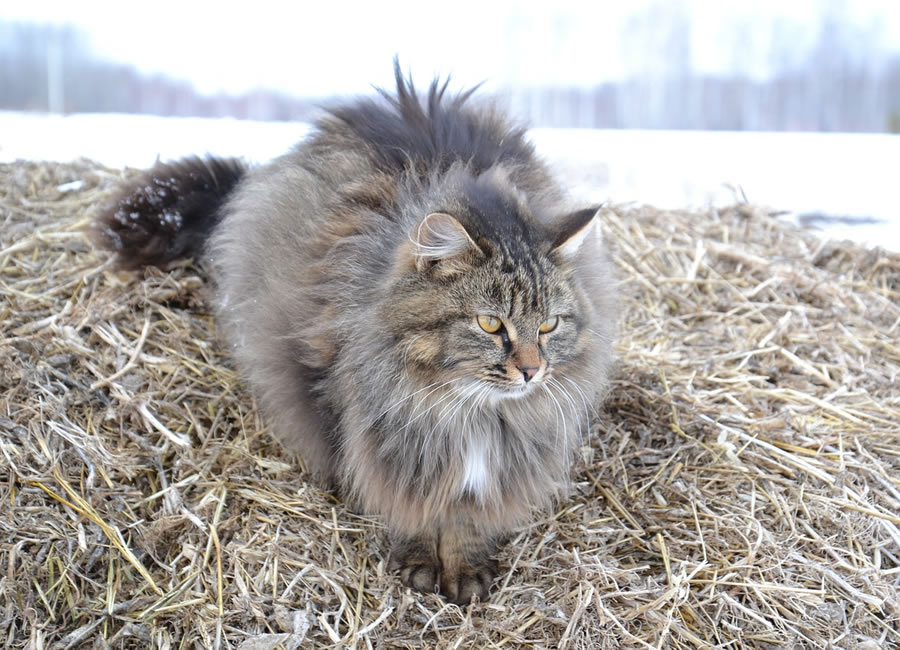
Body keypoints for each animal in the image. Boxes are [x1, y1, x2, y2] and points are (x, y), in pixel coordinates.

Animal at [91, 62, 616, 604]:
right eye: (490, 324)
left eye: (549, 325)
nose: (533, 371)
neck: (470, 415)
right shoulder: (380, 444)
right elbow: (408, 510)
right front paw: (420, 562)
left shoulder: (496, 467)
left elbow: (467, 520)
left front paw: (465, 567)